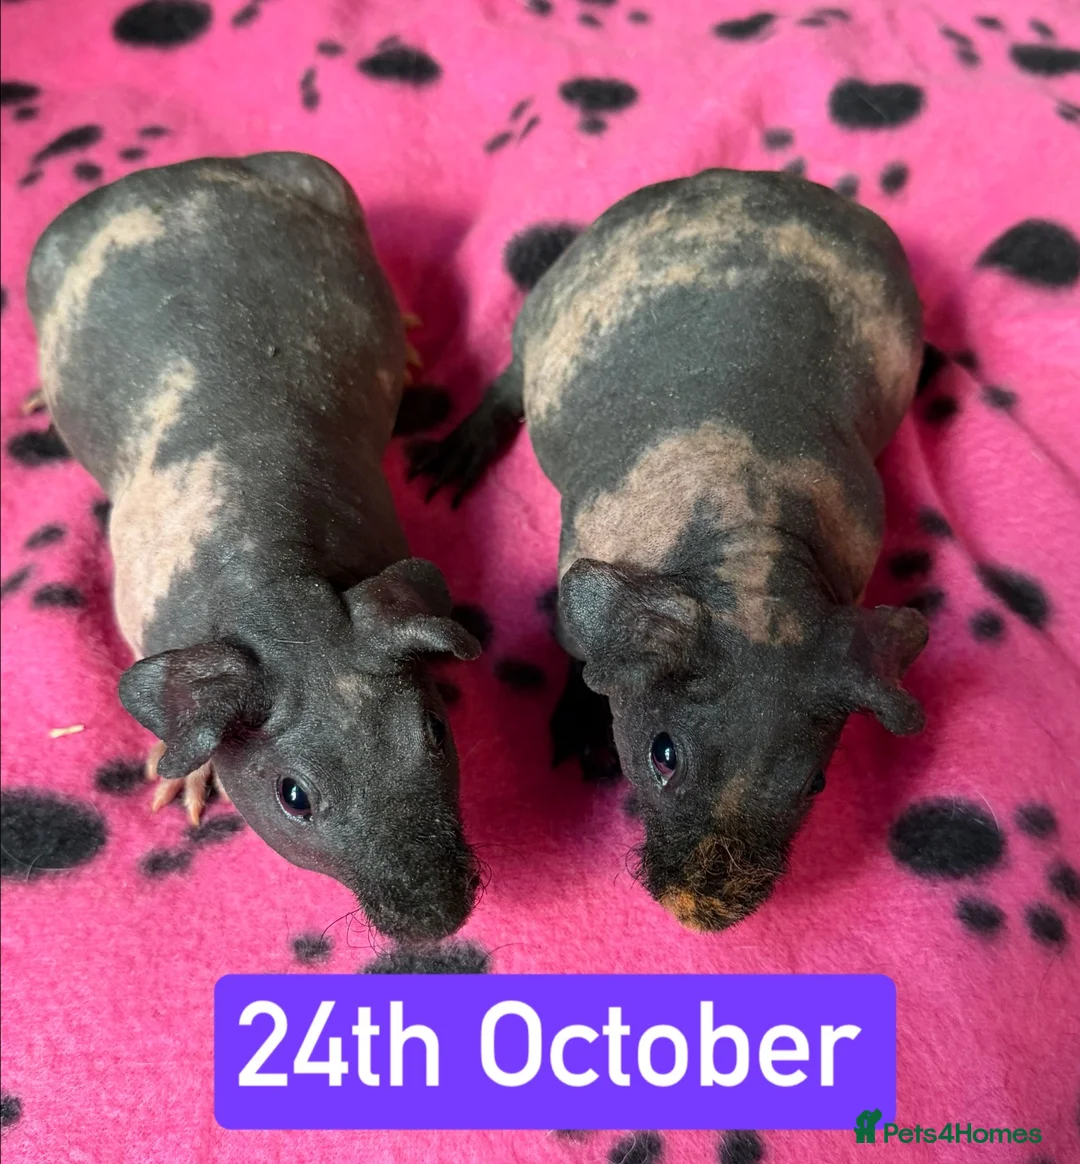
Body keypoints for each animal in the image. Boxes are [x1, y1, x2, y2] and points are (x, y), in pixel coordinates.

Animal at [27, 152, 482, 941]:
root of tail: (168, 176)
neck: (269, 573)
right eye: (293, 796)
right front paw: (184, 766)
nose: (438, 919)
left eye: (435, 732)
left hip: (319, 179)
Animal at [412, 168, 929, 931]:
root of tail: (747, 179)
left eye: (815, 783)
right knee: (510, 380)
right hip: (544, 321)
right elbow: (583, 655)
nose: (701, 911)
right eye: (664, 756)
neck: (750, 546)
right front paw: (581, 726)